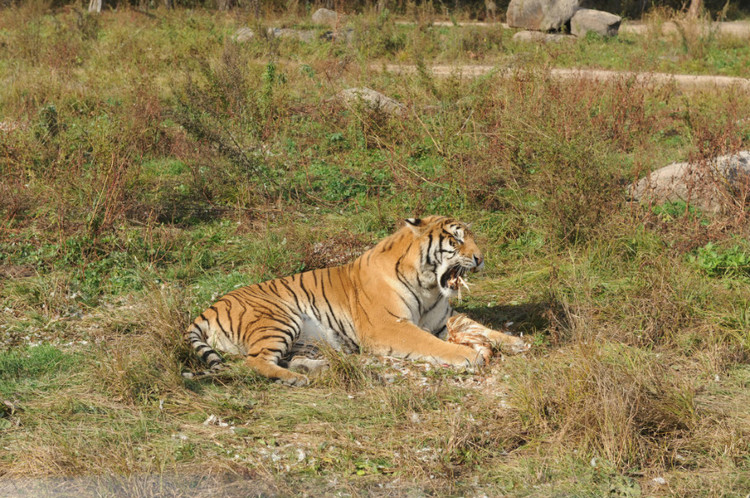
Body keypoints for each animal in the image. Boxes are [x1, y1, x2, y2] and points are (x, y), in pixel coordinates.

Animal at [186, 215, 532, 386]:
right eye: (457, 239)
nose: (480, 259)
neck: (429, 286)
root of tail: (208, 308)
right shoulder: (389, 326)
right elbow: (432, 345)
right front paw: (470, 356)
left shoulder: (443, 321)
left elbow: (478, 326)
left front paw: (515, 342)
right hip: (279, 318)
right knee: (255, 361)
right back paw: (296, 380)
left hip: (304, 339)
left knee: (286, 358)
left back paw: (324, 367)